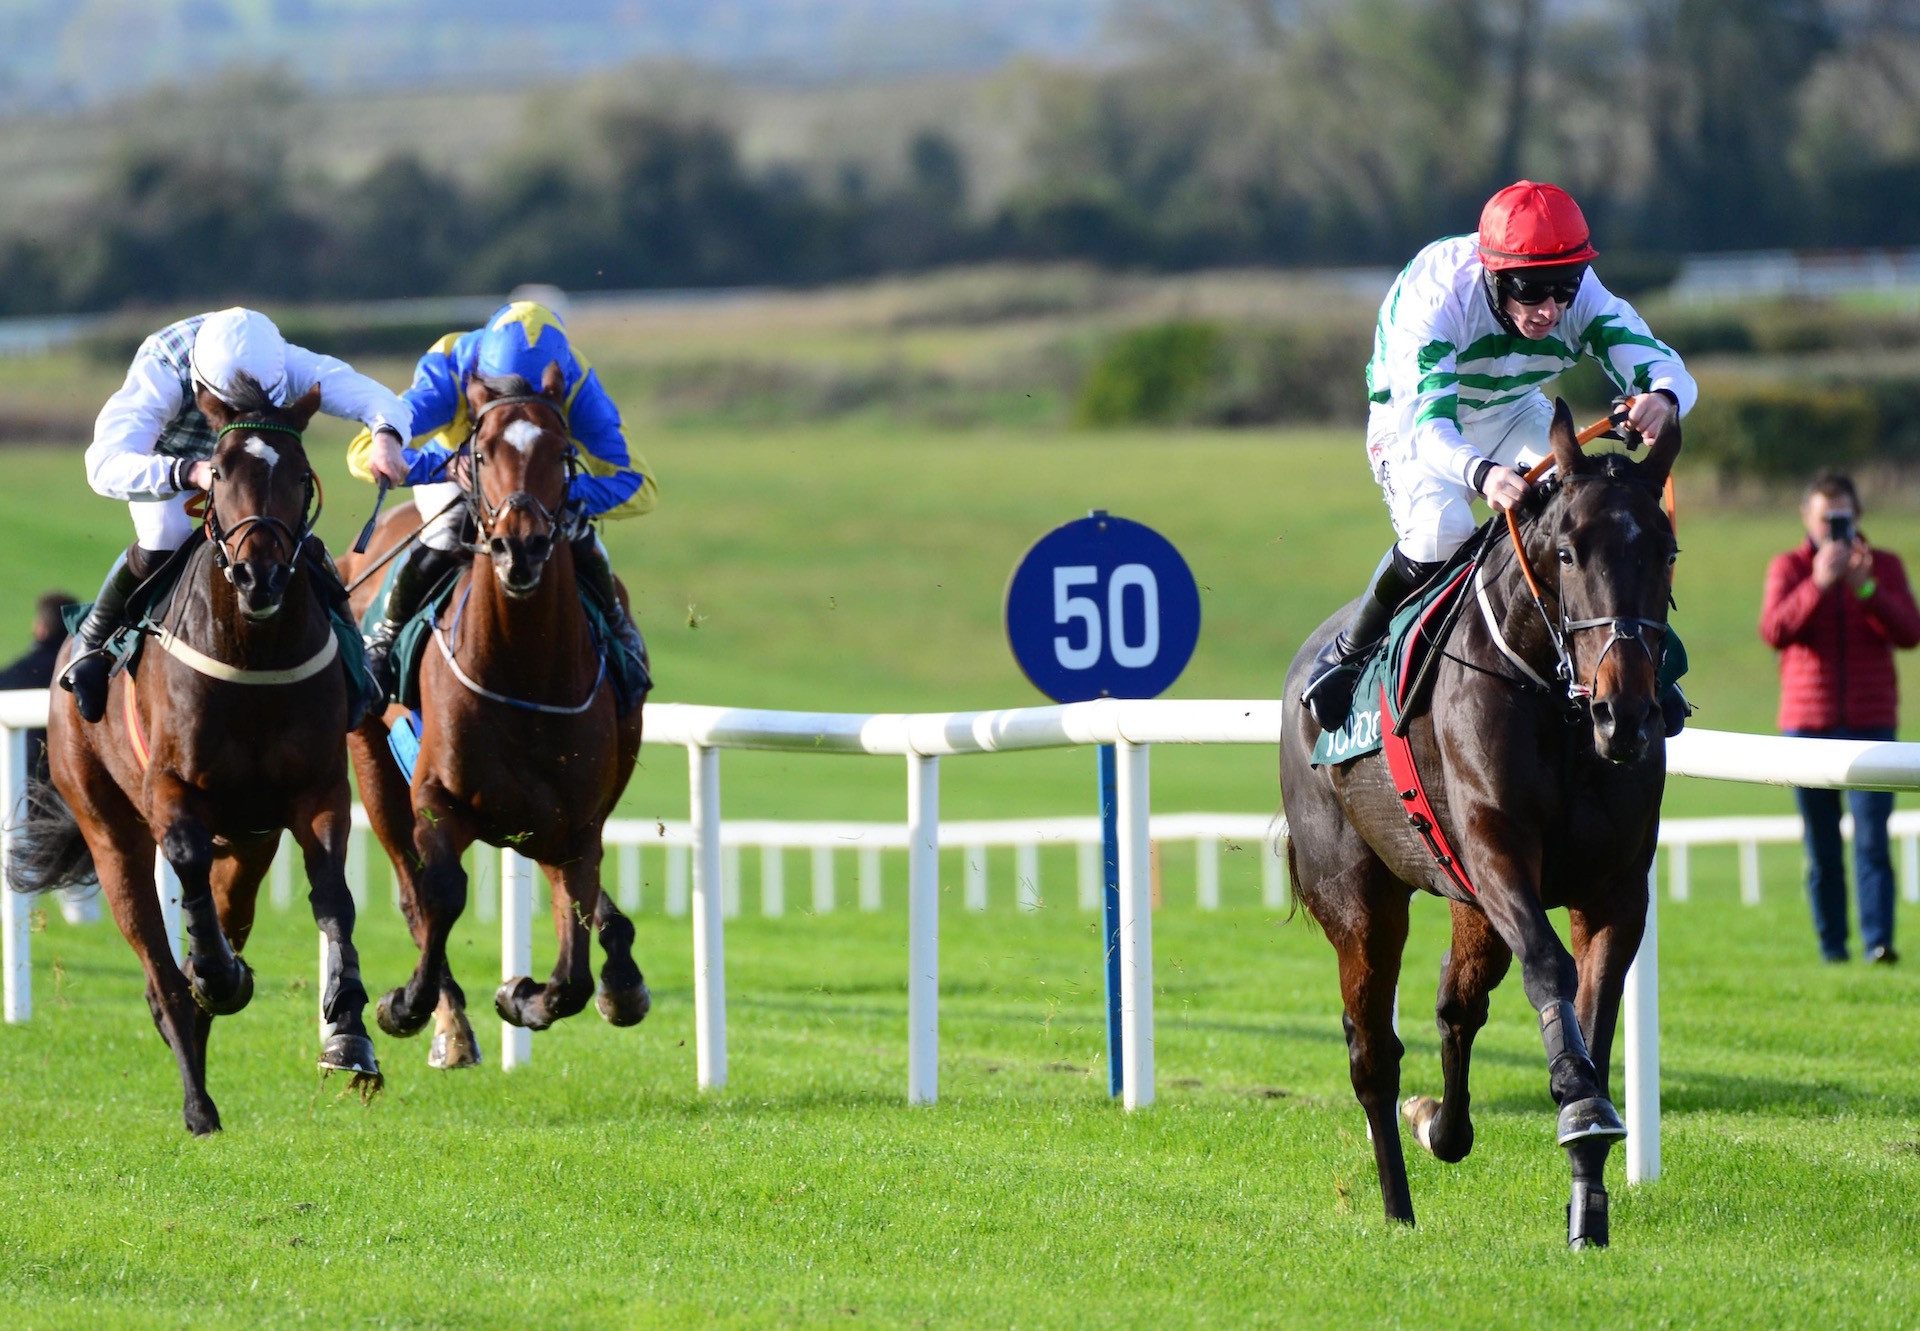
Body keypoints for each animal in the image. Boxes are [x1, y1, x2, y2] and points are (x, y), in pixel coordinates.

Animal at [9, 378, 378, 1137]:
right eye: (221, 474)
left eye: (301, 476)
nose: (260, 574)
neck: (252, 653)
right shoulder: (171, 788)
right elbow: (184, 867)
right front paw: (213, 971)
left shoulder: (317, 788)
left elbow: (334, 892)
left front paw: (348, 1026)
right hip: (108, 830)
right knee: (159, 969)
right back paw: (198, 1097)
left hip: (250, 844)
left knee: (224, 914)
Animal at [341, 361, 648, 1067]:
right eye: (481, 453)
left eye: (561, 453)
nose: (521, 547)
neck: (521, 668)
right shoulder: (435, 795)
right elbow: (439, 893)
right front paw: (408, 1005)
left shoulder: (576, 820)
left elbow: (573, 967)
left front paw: (524, 994)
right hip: (372, 762)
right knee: (411, 889)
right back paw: (449, 1025)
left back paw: (620, 979)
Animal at [1290, 401, 1681, 1244]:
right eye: (1566, 550)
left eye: (1665, 551)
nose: (1626, 712)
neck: (1556, 704)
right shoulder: (1498, 851)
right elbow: (1549, 967)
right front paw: (1578, 1104)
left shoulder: (1615, 888)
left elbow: (1596, 1008)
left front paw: (1587, 1194)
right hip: (1362, 901)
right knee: (1373, 1052)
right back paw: (1397, 1204)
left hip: (1467, 903)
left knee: (1456, 1003)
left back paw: (1440, 1123)